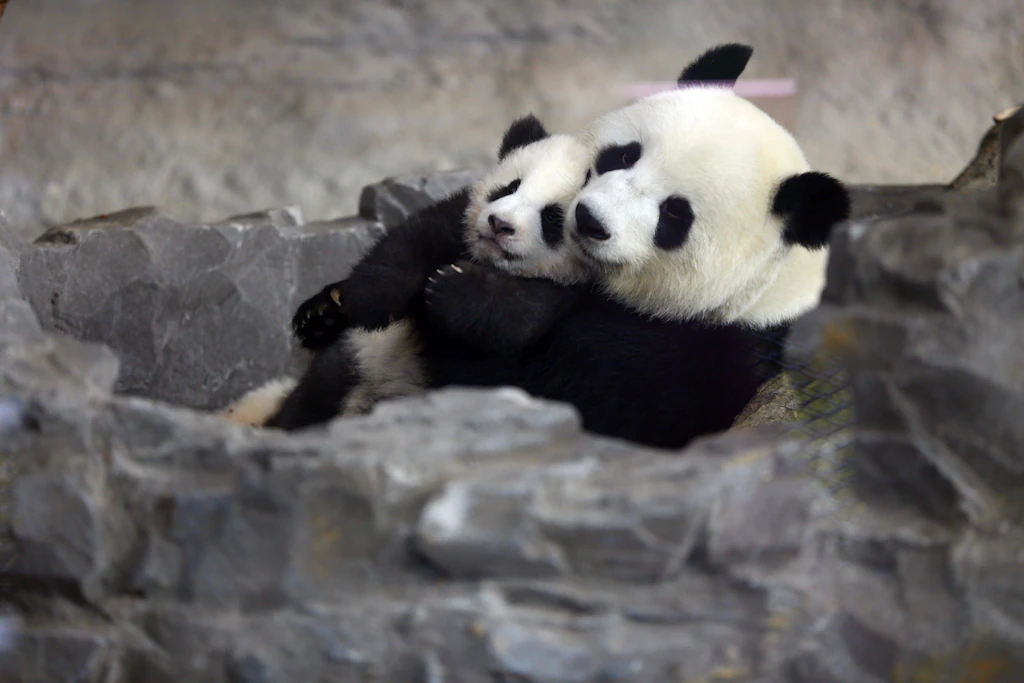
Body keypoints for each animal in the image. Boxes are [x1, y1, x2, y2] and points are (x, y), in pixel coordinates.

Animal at [220, 114, 593, 428]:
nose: (499, 224)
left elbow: (520, 313)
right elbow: (413, 240)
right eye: (509, 187)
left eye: (552, 218)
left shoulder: (570, 295)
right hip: (360, 358)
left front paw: (453, 290)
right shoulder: (456, 220)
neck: (487, 262)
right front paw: (365, 300)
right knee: (319, 389)